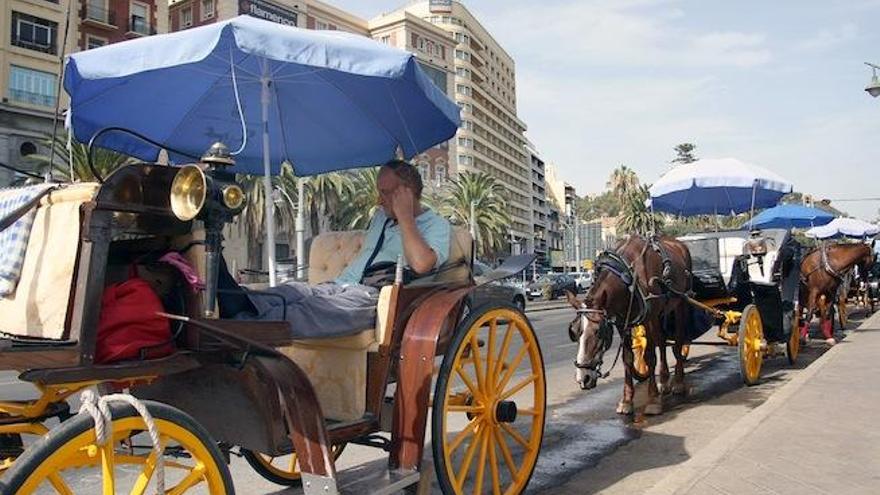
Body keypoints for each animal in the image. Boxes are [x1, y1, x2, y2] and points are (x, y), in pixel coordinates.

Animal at [568, 234, 692, 416]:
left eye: (598, 332)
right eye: (574, 332)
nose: (583, 378)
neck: (628, 277)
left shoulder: (649, 319)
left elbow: (650, 357)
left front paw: (653, 400)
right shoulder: (622, 323)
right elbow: (627, 359)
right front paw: (627, 401)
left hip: (681, 303)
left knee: (677, 342)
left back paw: (677, 382)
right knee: (662, 342)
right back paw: (663, 380)